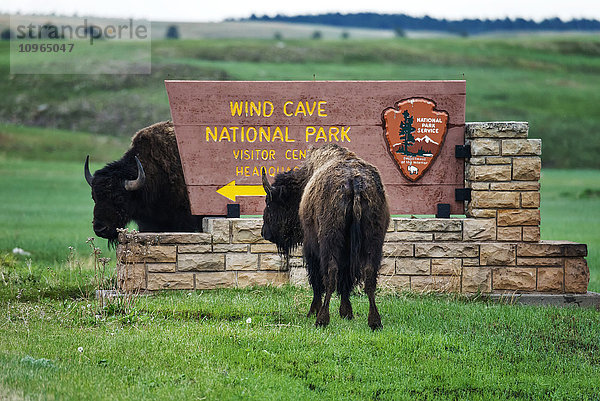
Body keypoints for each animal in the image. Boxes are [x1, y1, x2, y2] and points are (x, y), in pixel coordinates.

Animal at [262, 144, 392, 328]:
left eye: (269, 202)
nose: (264, 232)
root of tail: (354, 182)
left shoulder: (310, 247)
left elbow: (317, 280)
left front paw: (313, 311)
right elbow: (345, 282)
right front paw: (347, 313)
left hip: (329, 241)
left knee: (330, 274)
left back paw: (321, 319)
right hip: (373, 241)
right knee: (369, 275)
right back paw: (374, 322)